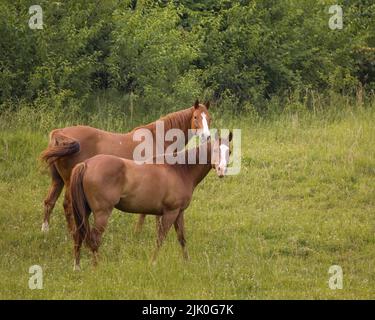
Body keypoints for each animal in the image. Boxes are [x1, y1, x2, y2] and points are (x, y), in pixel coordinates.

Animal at [41, 100, 212, 232]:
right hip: (69, 181)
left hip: (58, 180)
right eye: (196, 117)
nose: (207, 136)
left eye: (209, 118)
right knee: (68, 205)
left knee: (50, 202)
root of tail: (60, 133)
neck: (158, 139)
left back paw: (46, 230)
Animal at [70, 132, 232, 270]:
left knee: (79, 235)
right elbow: (160, 238)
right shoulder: (170, 212)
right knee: (94, 238)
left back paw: (77, 266)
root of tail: (86, 164)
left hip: (85, 211)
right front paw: (153, 262)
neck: (180, 170)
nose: (221, 170)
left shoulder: (179, 213)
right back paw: (97, 266)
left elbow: (182, 238)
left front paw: (187, 262)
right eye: (215, 150)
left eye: (229, 152)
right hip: (102, 213)